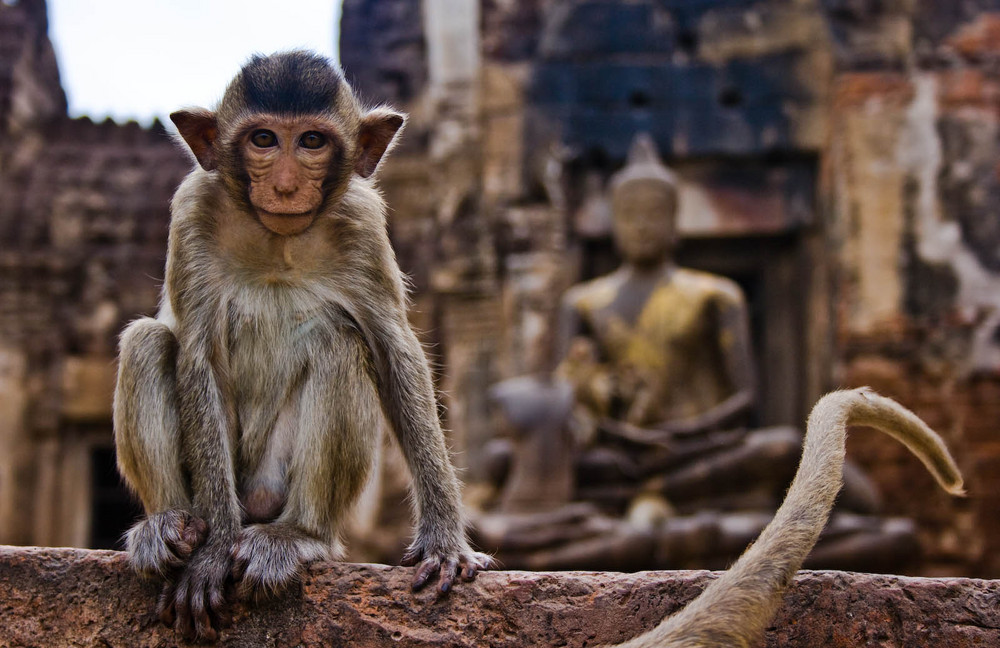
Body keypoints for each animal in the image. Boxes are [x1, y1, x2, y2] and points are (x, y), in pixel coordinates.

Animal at [113, 52, 492, 644]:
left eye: (312, 141)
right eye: (264, 139)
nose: (288, 186)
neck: (279, 240)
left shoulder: (362, 222)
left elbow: (394, 351)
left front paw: (445, 539)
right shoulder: (192, 211)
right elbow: (197, 358)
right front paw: (212, 554)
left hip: (273, 485)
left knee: (338, 342)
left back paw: (298, 536)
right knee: (147, 342)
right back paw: (170, 528)